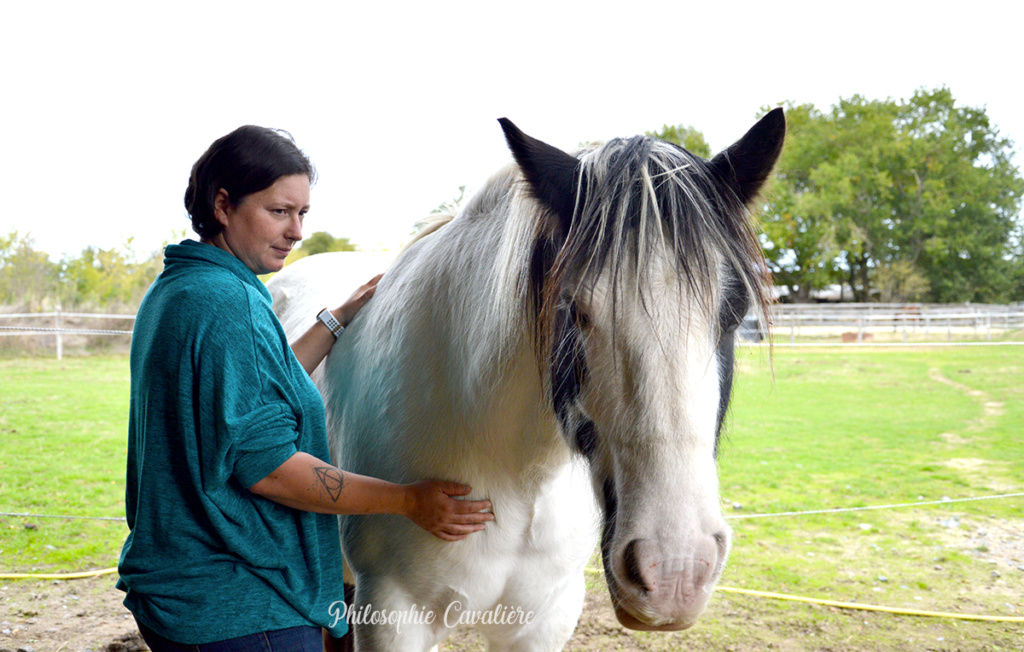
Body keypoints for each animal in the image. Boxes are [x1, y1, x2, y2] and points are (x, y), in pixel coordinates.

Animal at [268, 109, 786, 646]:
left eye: (734, 311)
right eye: (574, 308)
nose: (675, 571)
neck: (516, 473)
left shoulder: (545, 619)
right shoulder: (392, 614)